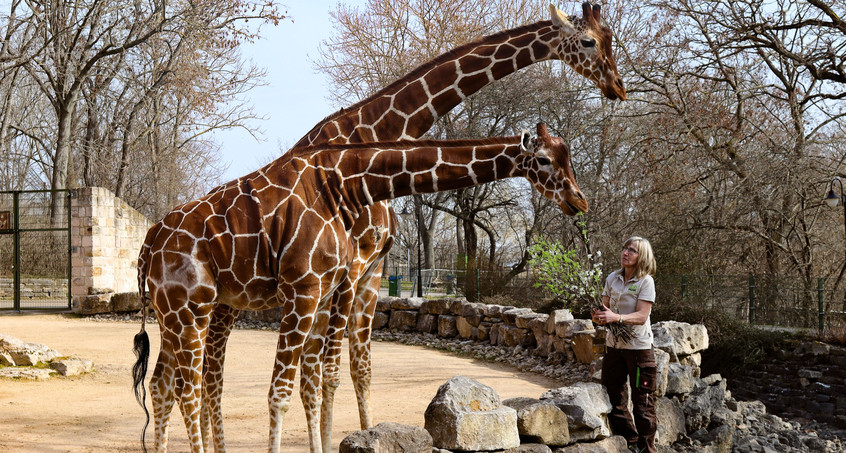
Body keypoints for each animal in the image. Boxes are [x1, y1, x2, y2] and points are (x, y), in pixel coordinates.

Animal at [132, 122, 592, 450]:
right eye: (545, 161)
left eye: (568, 156)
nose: (579, 200)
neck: (343, 182)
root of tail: (150, 240)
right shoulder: (305, 288)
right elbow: (283, 390)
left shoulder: (325, 289)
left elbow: (315, 379)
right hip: (191, 310)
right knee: (188, 391)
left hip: (177, 314)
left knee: (163, 386)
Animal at [190, 1, 628, 450]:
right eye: (589, 41)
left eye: (610, 39)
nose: (618, 87)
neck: (378, 130)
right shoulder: (349, 269)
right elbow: (328, 370)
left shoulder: (372, 268)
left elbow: (359, 367)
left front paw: (369, 434)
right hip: (224, 303)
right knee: (208, 375)